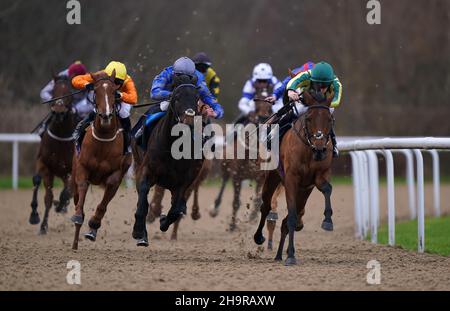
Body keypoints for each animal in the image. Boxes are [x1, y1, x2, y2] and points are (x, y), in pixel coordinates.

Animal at [29, 75, 78, 234]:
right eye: (54, 91)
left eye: (69, 92)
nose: (58, 112)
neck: (61, 137)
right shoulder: (43, 163)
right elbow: (39, 183)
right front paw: (36, 219)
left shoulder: (72, 169)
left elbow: (65, 193)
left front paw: (60, 205)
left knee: (67, 190)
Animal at [69, 70, 131, 251]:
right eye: (95, 91)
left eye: (113, 92)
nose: (106, 115)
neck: (103, 138)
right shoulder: (82, 169)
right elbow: (81, 194)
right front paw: (78, 218)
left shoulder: (116, 176)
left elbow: (102, 205)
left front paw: (93, 224)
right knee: (77, 196)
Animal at [131, 74, 205, 247]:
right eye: (176, 97)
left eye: (197, 97)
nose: (189, 121)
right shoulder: (146, 171)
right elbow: (143, 202)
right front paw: (139, 232)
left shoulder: (183, 183)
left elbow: (176, 209)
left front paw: (164, 220)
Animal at [211, 83, 274, 232]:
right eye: (256, 99)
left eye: (270, 101)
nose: (263, 117)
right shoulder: (237, 176)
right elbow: (235, 202)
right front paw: (232, 225)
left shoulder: (261, 177)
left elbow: (258, 199)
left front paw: (253, 217)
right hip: (225, 168)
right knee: (223, 183)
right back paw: (215, 208)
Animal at [253, 90, 334, 266]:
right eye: (309, 118)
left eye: (329, 119)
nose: (320, 149)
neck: (309, 149)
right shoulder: (291, 179)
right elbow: (290, 216)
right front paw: (290, 256)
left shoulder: (317, 178)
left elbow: (327, 189)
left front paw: (328, 221)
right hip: (272, 177)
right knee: (266, 206)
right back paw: (259, 237)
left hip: (303, 192)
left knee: (292, 217)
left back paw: (279, 254)